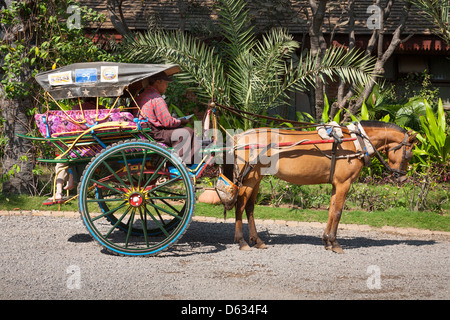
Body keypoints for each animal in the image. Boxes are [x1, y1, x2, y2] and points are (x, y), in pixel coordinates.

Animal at [229, 120, 418, 252]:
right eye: (409, 154)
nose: (402, 178)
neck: (356, 142)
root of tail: (240, 137)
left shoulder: (336, 184)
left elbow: (331, 210)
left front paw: (327, 240)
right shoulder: (343, 183)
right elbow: (338, 212)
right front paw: (335, 243)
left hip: (256, 178)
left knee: (250, 207)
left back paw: (257, 240)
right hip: (250, 178)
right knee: (240, 205)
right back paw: (241, 241)